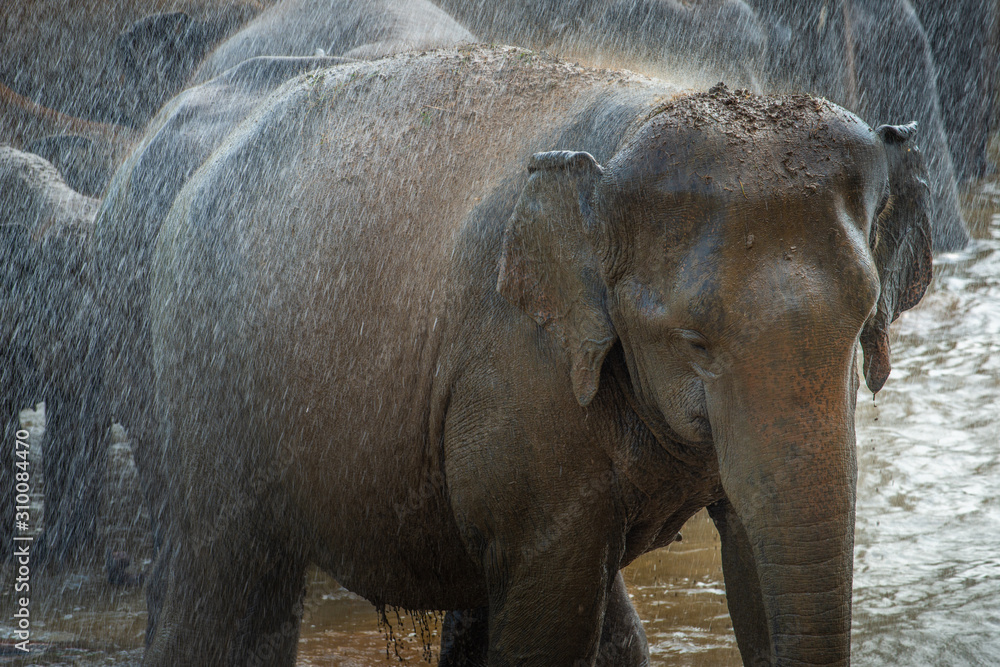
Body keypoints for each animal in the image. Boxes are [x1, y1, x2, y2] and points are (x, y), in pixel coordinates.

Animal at [133, 46, 931, 665]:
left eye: (861, 320)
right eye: (694, 341)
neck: (624, 137)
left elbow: (755, 557)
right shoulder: (522, 365)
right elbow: (552, 609)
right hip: (205, 376)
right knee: (227, 587)